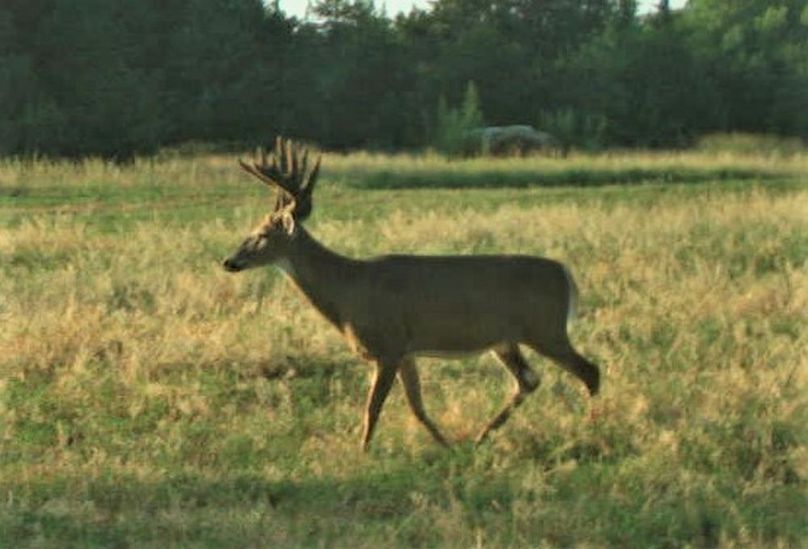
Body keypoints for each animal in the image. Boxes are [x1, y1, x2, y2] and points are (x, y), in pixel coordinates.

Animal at [221, 137, 600, 450]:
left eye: (261, 234)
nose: (230, 261)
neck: (347, 291)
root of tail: (565, 274)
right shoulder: (406, 351)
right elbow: (417, 407)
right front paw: (446, 446)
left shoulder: (387, 346)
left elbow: (373, 408)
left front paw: (362, 453)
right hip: (506, 339)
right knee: (529, 380)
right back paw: (481, 436)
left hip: (545, 328)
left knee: (589, 370)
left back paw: (592, 428)